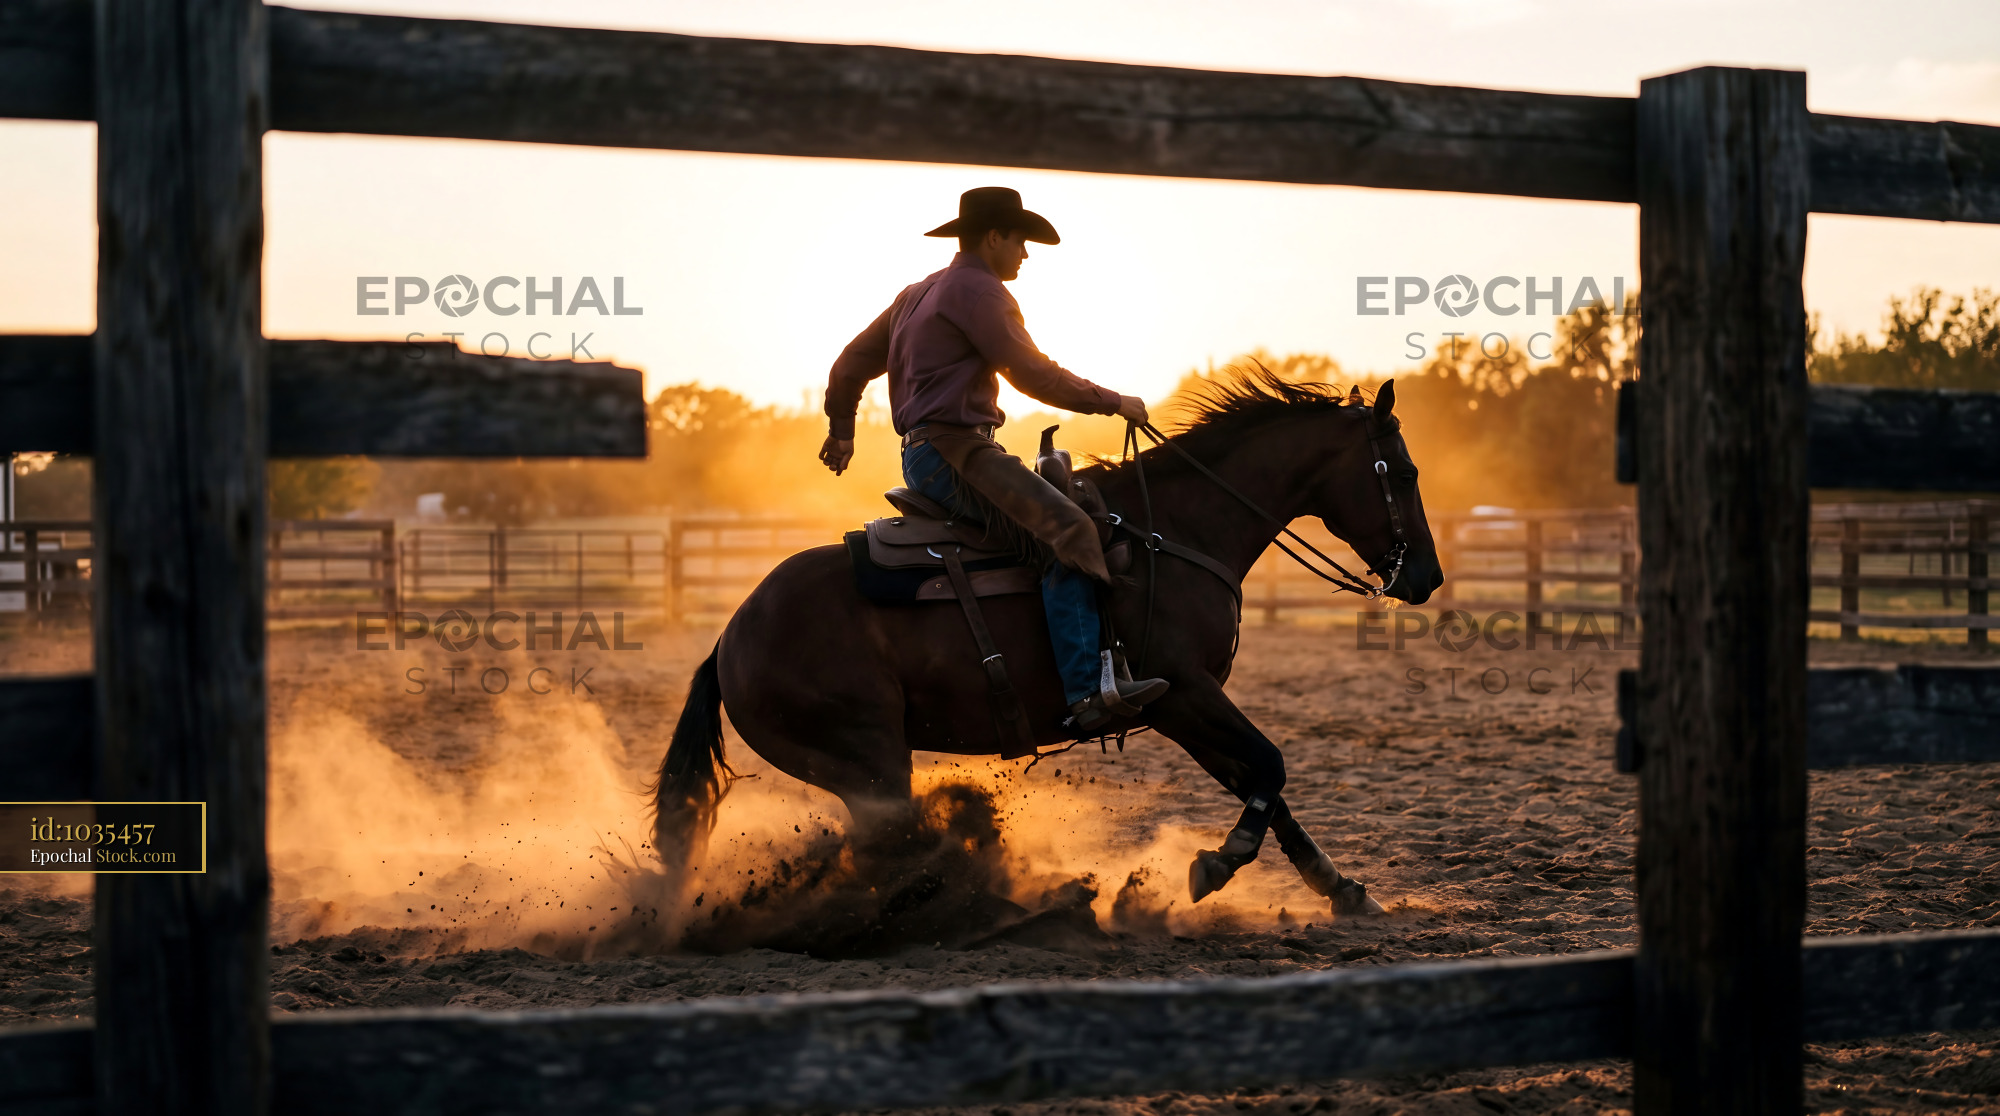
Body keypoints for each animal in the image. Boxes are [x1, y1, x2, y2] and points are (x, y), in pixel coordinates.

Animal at [651, 370, 1444, 918]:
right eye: (1404, 472)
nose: (1428, 578)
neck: (1172, 533)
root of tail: (730, 637)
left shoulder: (1181, 708)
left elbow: (1260, 781)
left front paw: (1343, 890)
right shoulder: (1185, 694)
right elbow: (1270, 767)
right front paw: (1220, 864)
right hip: (866, 756)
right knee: (892, 848)